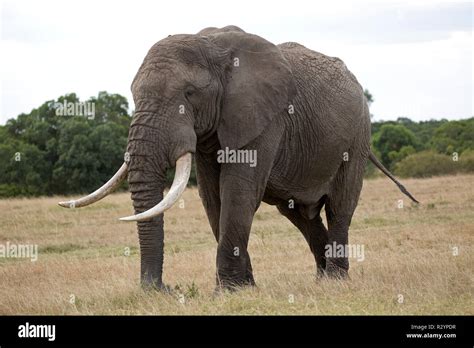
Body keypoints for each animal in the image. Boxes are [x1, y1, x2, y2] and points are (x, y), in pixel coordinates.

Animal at [59, 25, 418, 290]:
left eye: (189, 94)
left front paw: (229, 291)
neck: (210, 46)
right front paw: (244, 288)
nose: (162, 289)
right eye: (133, 95)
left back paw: (335, 282)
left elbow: (238, 191)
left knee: (340, 207)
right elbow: (211, 196)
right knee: (301, 215)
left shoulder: (264, 117)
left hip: (356, 138)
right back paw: (319, 278)